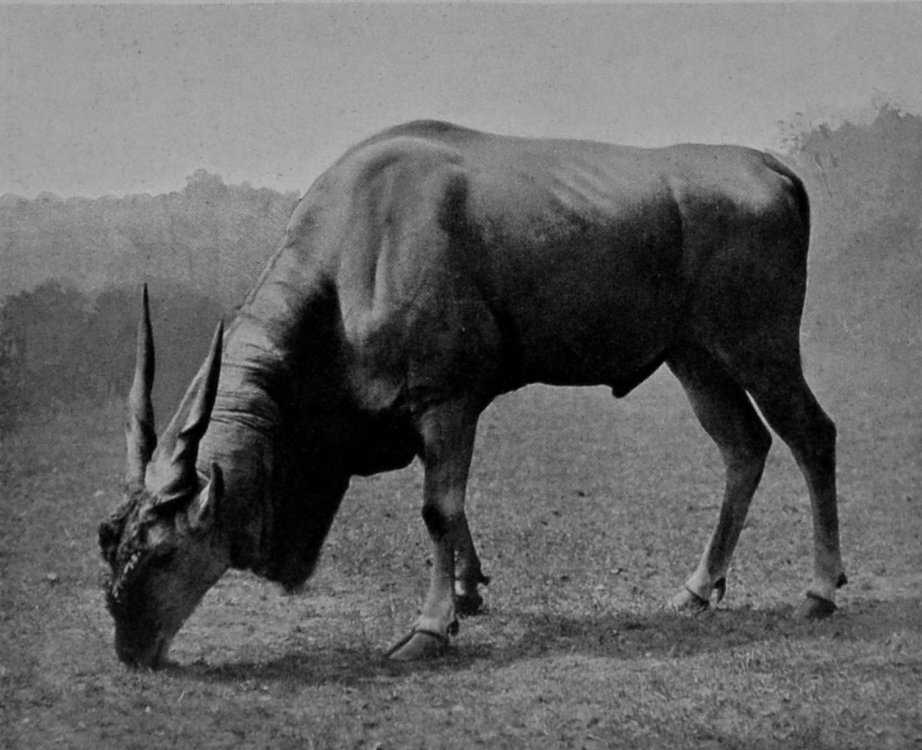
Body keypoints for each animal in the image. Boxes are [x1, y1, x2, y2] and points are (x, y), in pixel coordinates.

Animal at [98, 120, 846, 668]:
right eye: (109, 540)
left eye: (161, 552)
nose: (131, 649)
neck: (359, 246)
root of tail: (772, 169)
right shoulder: (433, 413)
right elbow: (450, 508)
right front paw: (467, 590)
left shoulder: (446, 400)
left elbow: (438, 508)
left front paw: (431, 626)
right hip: (694, 358)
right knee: (744, 447)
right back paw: (696, 588)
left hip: (759, 347)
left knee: (812, 435)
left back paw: (820, 590)